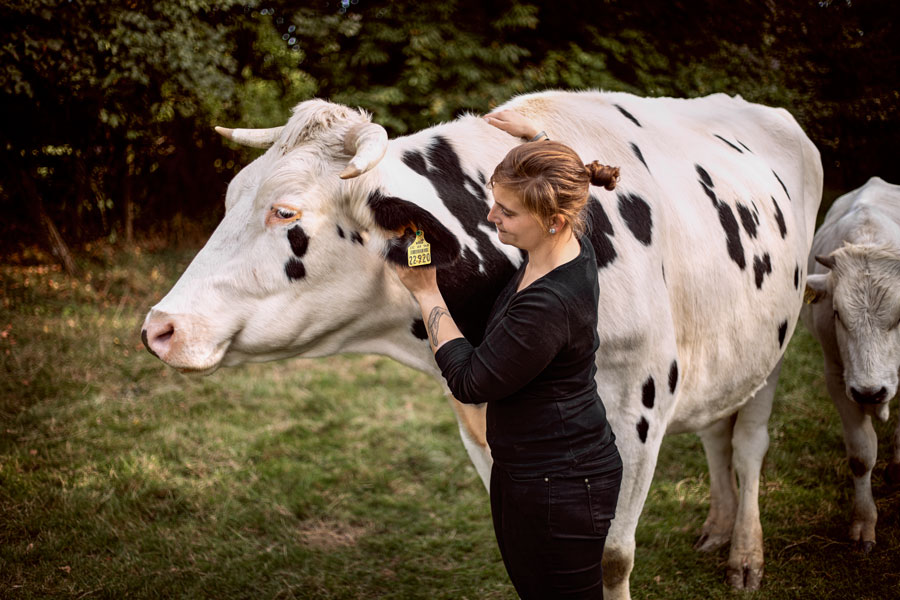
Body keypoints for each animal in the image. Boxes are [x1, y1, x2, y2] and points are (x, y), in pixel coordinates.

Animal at [142, 90, 822, 598]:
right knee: (715, 430)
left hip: (776, 344)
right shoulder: (479, 420)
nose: (159, 328)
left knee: (748, 446)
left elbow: (611, 558)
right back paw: (717, 529)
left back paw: (744, 555)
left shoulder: (639, 407)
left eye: (285, 212)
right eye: (230, 197)